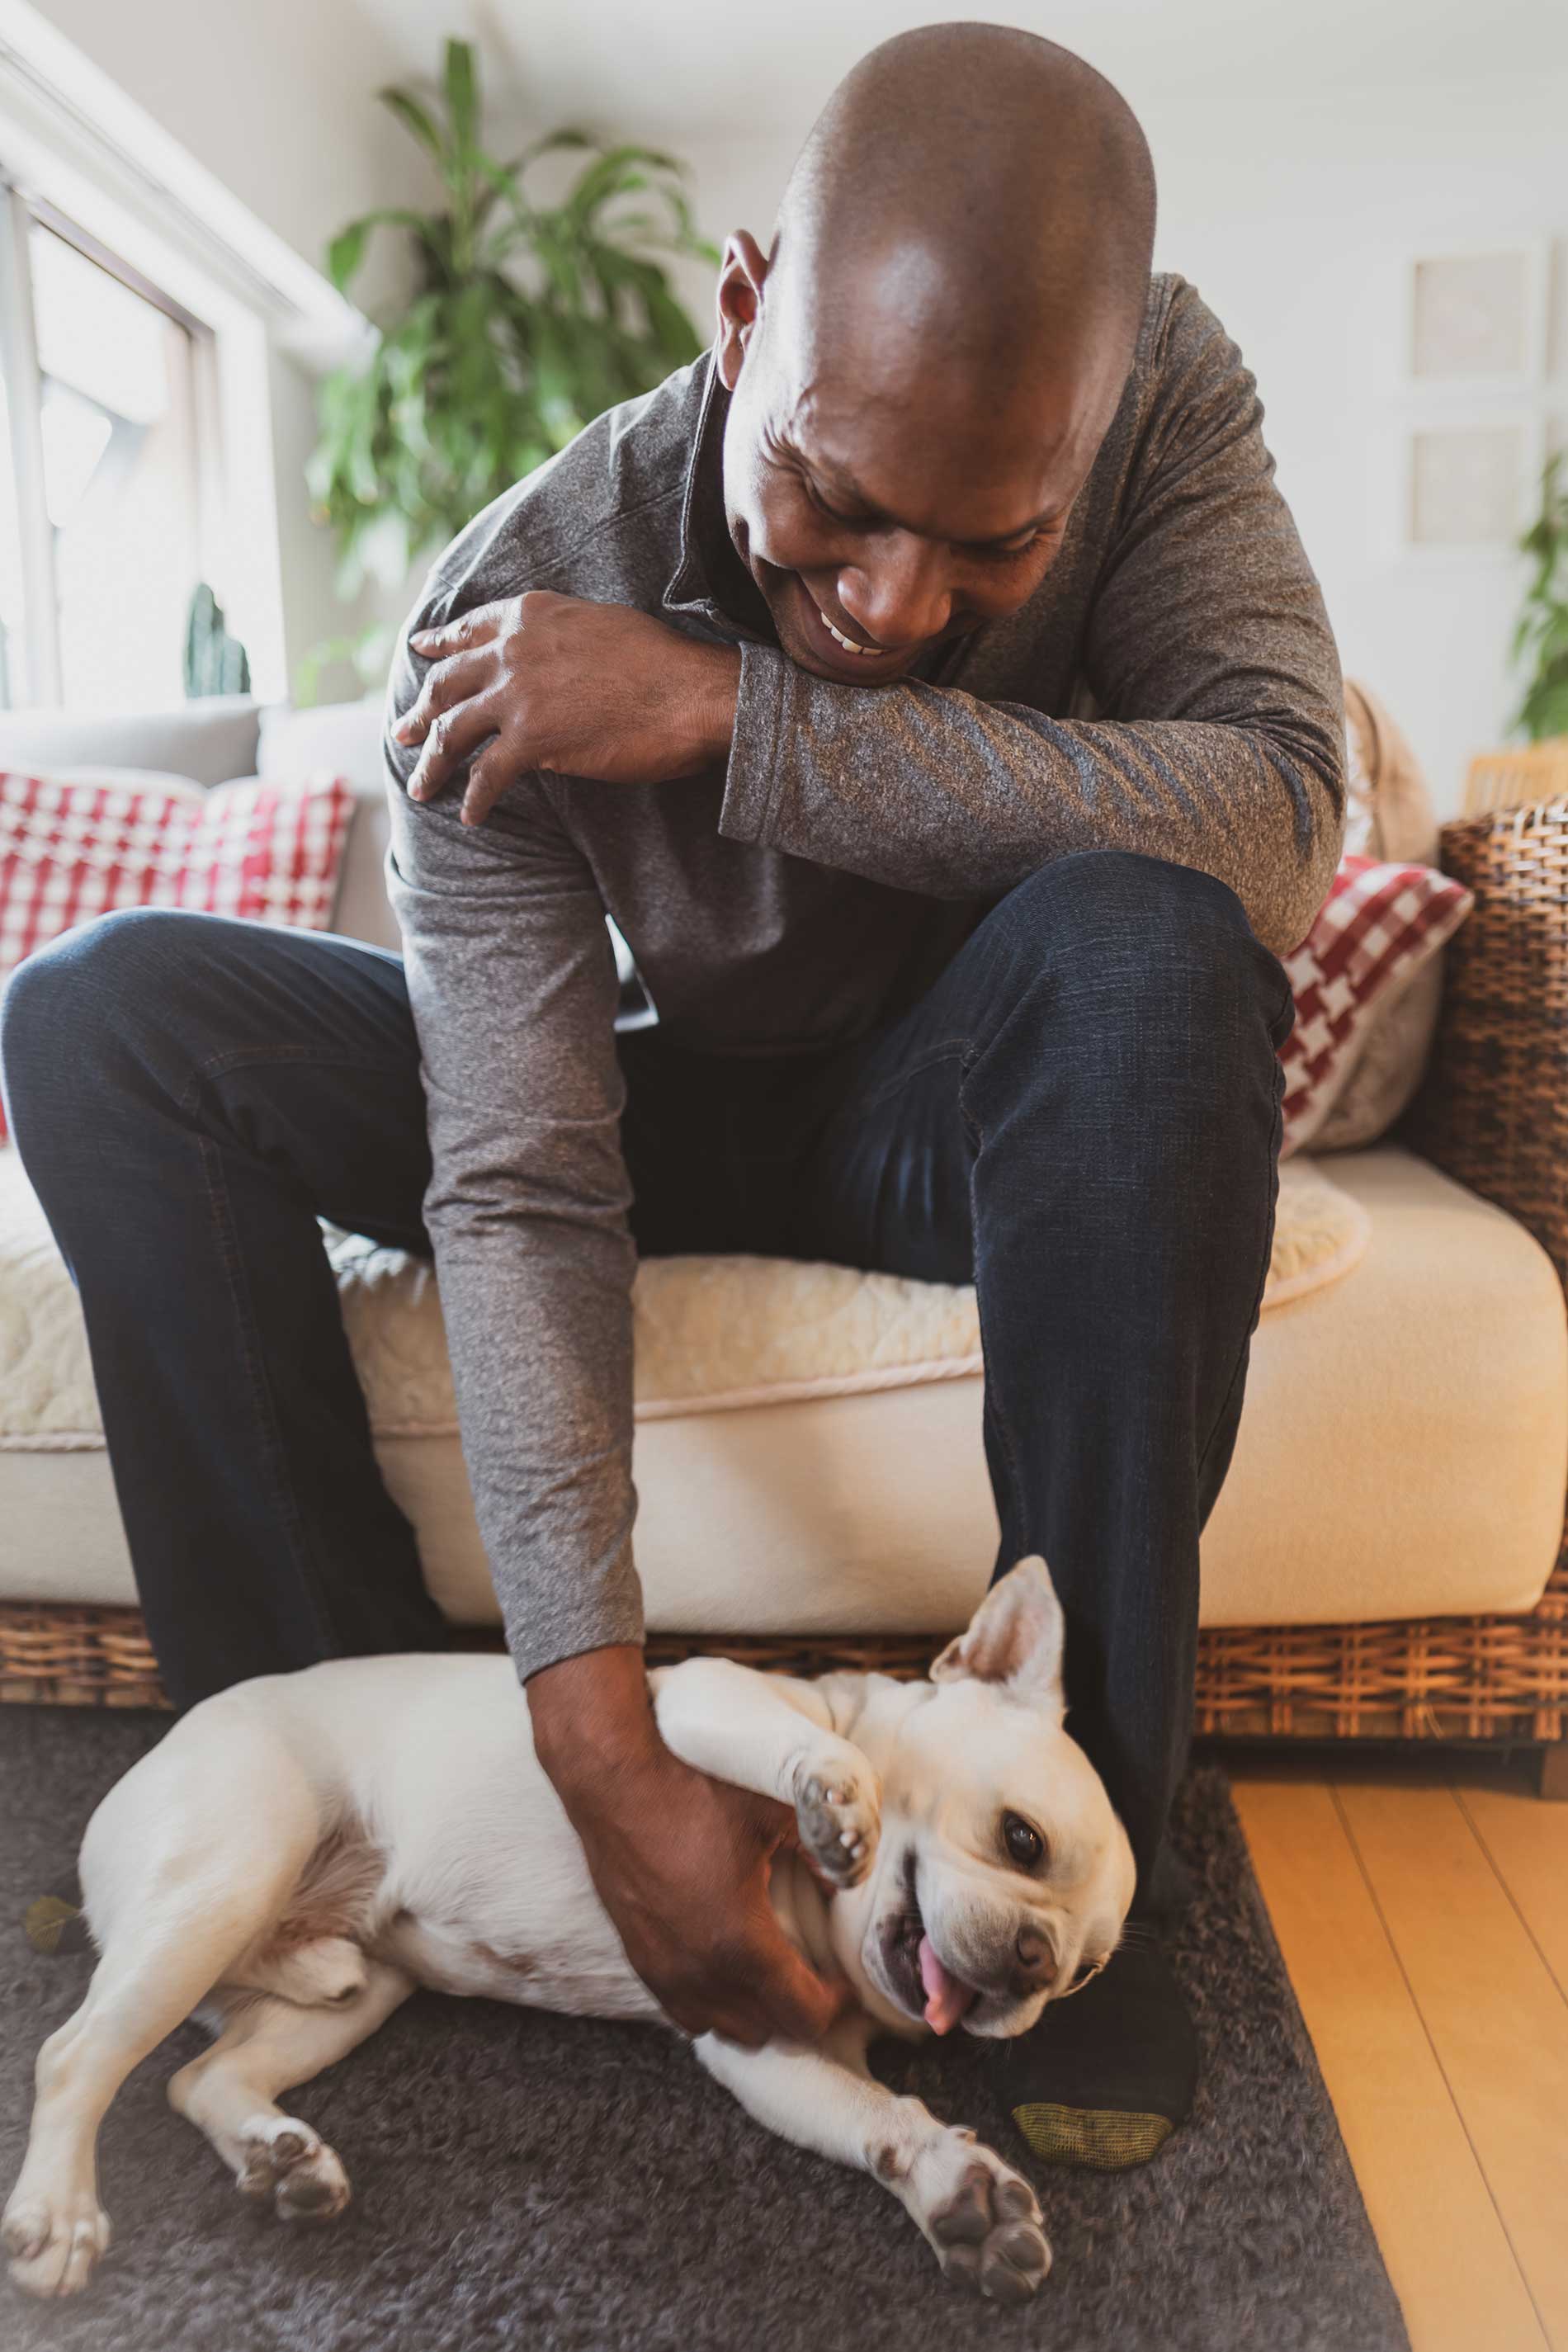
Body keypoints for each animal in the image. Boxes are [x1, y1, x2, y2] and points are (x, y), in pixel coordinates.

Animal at [0, 1551, 1128, 2305]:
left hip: (349, 1990)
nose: (1034, 1963)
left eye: (1083, 1975)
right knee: (76, 2054)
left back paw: (280, 2159)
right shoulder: (709, 1707)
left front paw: (954, 2192)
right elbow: (801, 1742)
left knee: (205, 2075)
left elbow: (874, 2117)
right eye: (1020, 1839)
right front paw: (836, 1798)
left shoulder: (781, 2049)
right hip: (224, 1872)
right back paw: (59, 2212)